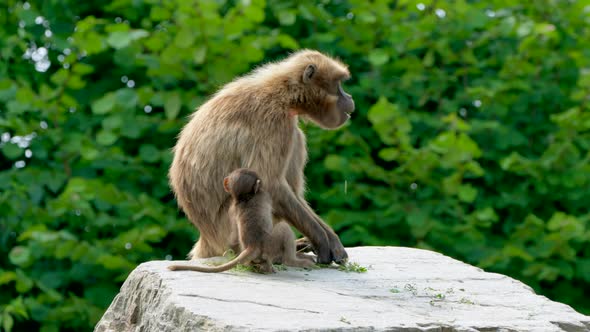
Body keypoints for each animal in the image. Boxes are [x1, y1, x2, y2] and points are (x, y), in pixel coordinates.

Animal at [169, 169, 316, 272]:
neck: (245, 198)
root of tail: (252, 246)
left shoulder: (232, 209)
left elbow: (234, 235)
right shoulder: (265, 195)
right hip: (271, 244)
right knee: (283, 228)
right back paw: (291, 261)